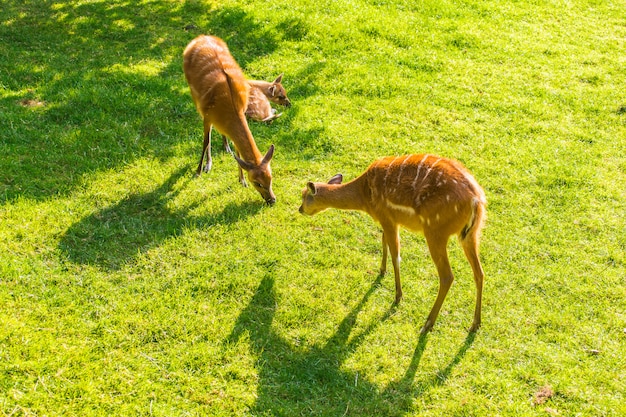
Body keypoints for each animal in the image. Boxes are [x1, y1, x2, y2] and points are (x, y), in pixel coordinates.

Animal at [183, 34, 276, 205]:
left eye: (270, 177)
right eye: (257, 182)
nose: (272, 200)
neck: (230, 105)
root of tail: (202, 37)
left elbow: (237, 150)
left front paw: (241, 180)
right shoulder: (207, 115)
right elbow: (205, 141)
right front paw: (198, 171)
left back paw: (226, 147)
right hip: (194, 94)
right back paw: (208, 164)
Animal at [298, 154, 488, 334]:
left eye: (304, 196)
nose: (300, 209)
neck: (364, 195)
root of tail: (476, 201)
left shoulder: (387, 217)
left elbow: (396, 256)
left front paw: (398, 296)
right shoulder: (388, 219)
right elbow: (384, 243)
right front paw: (382, 271)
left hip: (435, 231)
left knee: (447, 276)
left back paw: (427, 324)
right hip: (471, 234)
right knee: (479, 272)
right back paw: (475, 324)